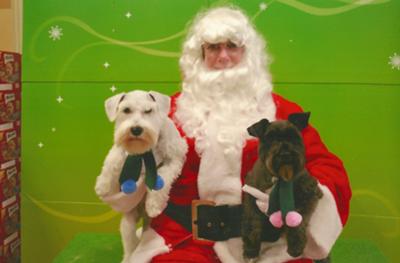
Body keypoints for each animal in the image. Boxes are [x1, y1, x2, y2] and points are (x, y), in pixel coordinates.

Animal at [95, 89, 188, 262]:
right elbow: (112, 158)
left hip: (148, 224)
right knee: (130, 247)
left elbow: (163, 177)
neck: (145, 150)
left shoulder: (175, 158)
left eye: (148, 110)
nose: (136, 129)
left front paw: (154, 204)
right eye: (126, 110)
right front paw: (102, 185)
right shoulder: (124, 148)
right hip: (127, 224)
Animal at [242, 113, 324, 260]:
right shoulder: (252, 199)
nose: (285, 154)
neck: (280, 177)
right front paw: (251, 251)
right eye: (270, 139)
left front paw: (296, 246)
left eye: (293, 137)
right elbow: (252, 225)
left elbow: (298, 222)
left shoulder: (309, 194)